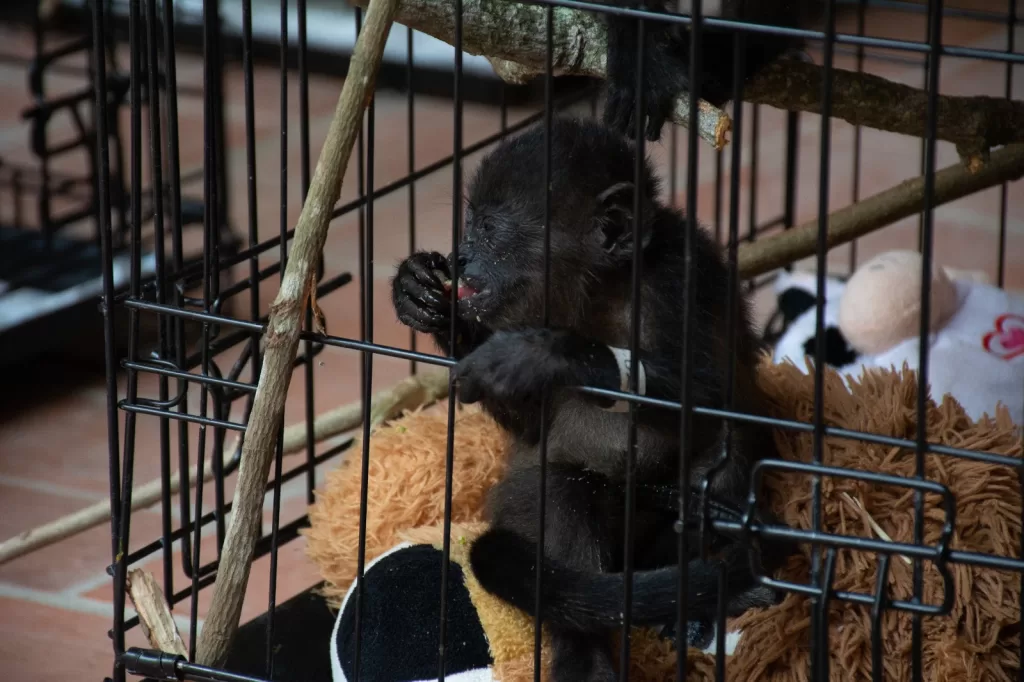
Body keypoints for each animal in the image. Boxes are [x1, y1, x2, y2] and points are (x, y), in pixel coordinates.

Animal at [391, 118, 782, 679]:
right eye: (468, 226)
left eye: (488, 229)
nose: (460, 256)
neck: (603, 288)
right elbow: (533, 429)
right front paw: (419, 295)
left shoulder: (684, 274)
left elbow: (708, 389)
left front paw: (544, 354)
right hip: (522, 514)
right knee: (560, 491)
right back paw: (587, 655)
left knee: (723, 456)